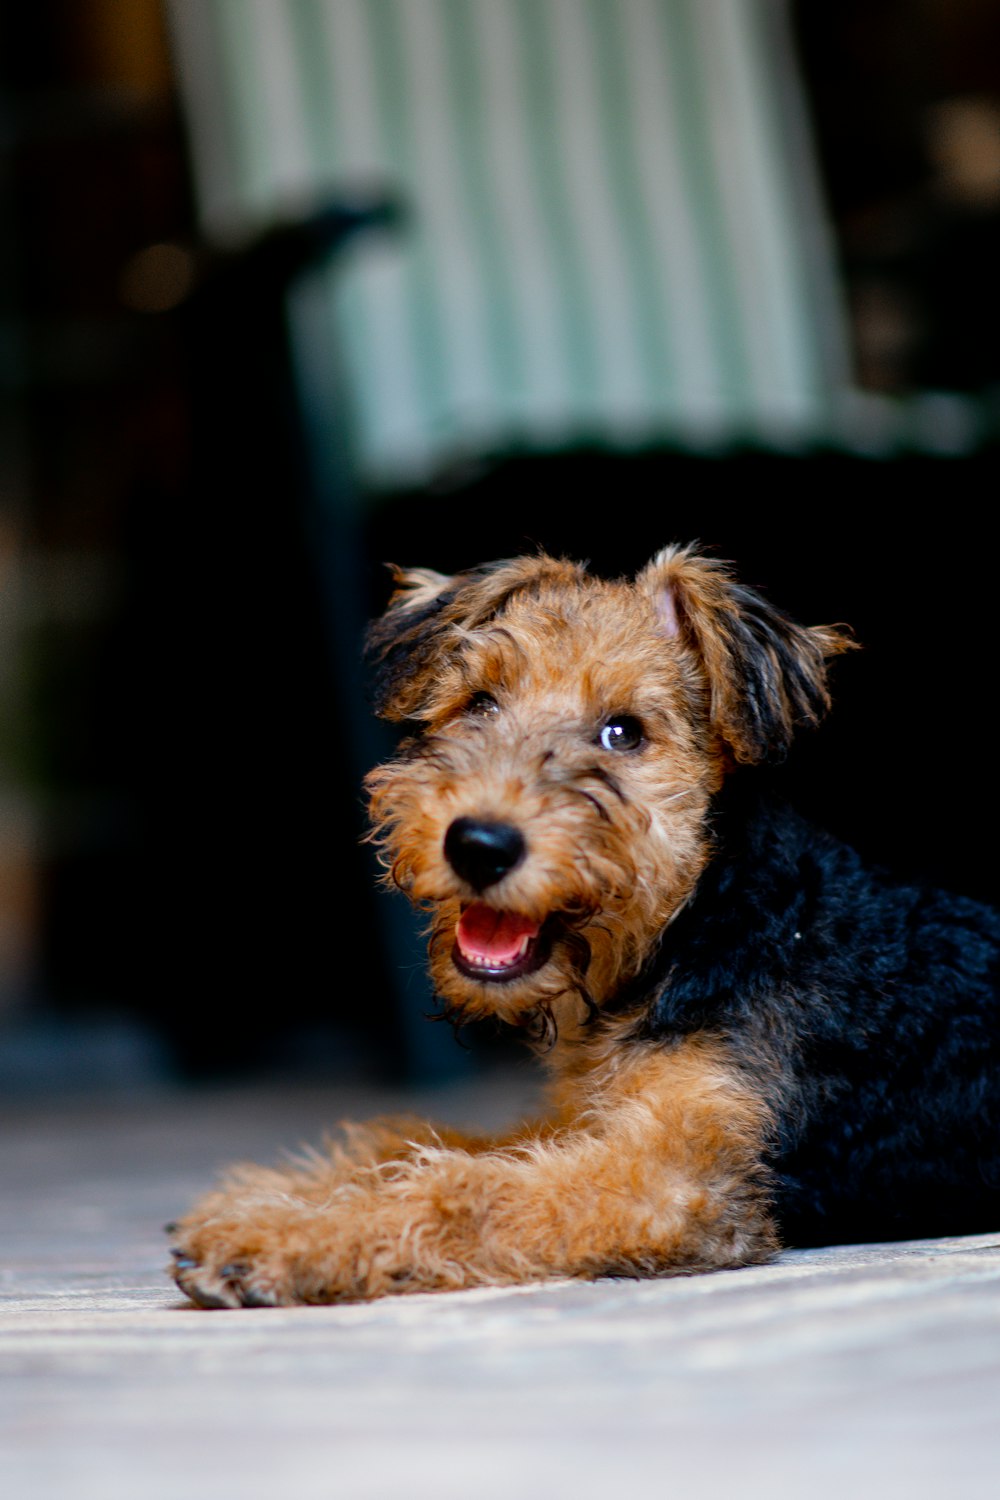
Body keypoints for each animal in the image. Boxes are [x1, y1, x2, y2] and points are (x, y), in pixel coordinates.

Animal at [170, 546, 1000, 1308]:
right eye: (480, 701)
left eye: (623, 732)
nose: (479, 843)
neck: (700, 924)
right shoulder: (594, 1124)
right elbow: (431, 1145)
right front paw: (283, 1191)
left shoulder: (676, 1181)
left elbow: (470, 1191)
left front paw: (276, 1237)